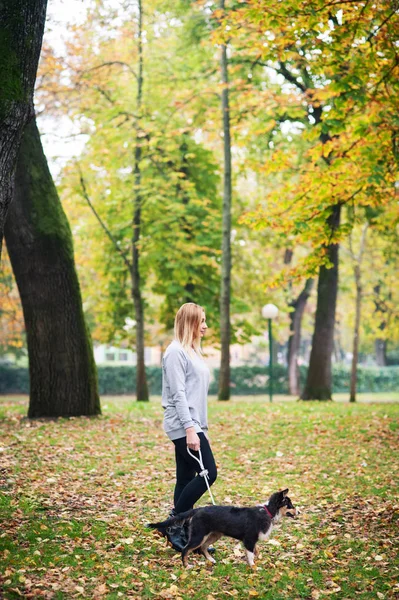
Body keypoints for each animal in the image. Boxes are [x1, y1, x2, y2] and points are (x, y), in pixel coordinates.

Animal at [148, 488, 296, 568]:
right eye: (289, 505)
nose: (299, 512)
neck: (268, 512)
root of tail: (198, 510)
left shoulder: (252, 540)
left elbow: (256, 551)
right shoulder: (249, 539)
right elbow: (250, 555)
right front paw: (254, 567)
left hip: (214, 535)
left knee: (203, 547)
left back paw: (211, 560)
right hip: (198, 535)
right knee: (186, 550)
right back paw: (187, 566)